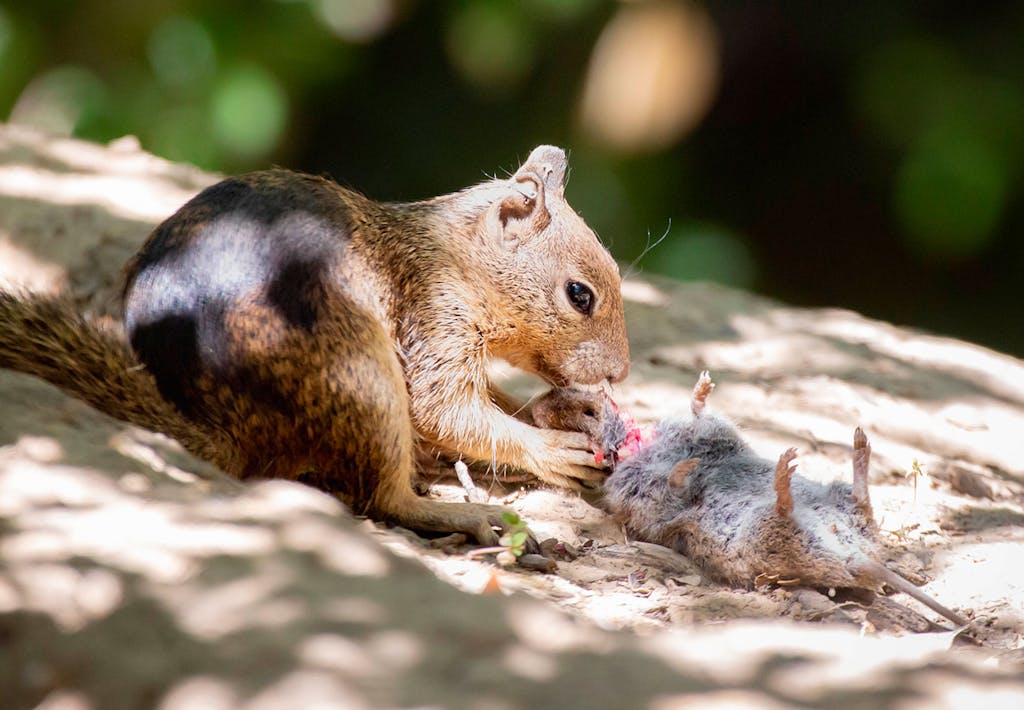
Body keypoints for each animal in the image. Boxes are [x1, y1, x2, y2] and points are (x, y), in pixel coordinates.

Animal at [0, 145, 630, 545]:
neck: (454, 256)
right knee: (382, 498)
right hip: (362, 374)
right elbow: (444, 410)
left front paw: (565, 410)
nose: (622, 373)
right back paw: (457, 514)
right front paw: (552, 448)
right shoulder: (435, 318)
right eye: (580, 295)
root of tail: (227, 430)